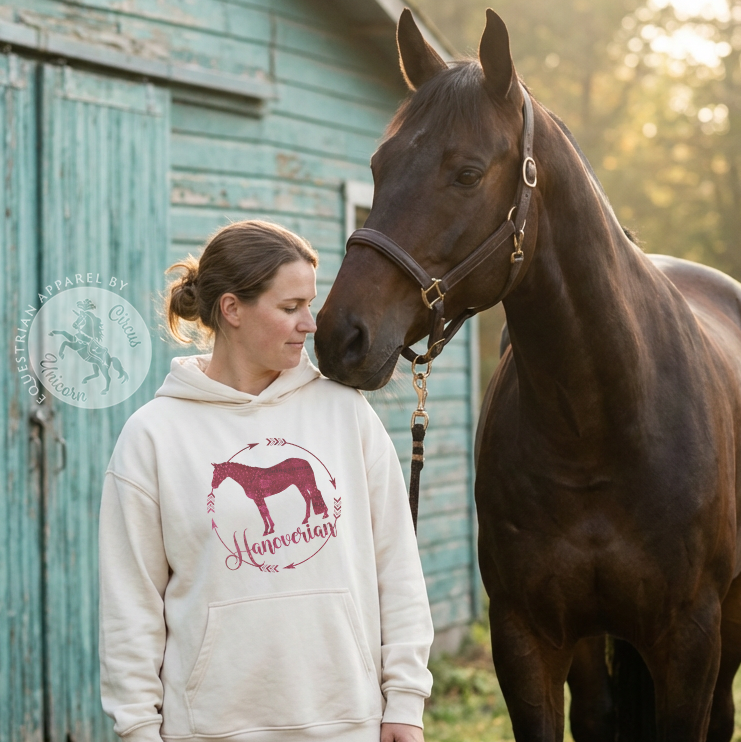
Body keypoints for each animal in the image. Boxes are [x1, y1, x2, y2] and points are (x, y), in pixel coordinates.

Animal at [314, 9, 741, 742]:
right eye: (378, 165)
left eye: (466, 173)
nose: (340, 337)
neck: (598, 429)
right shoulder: (526, 638)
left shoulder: (690, 641)